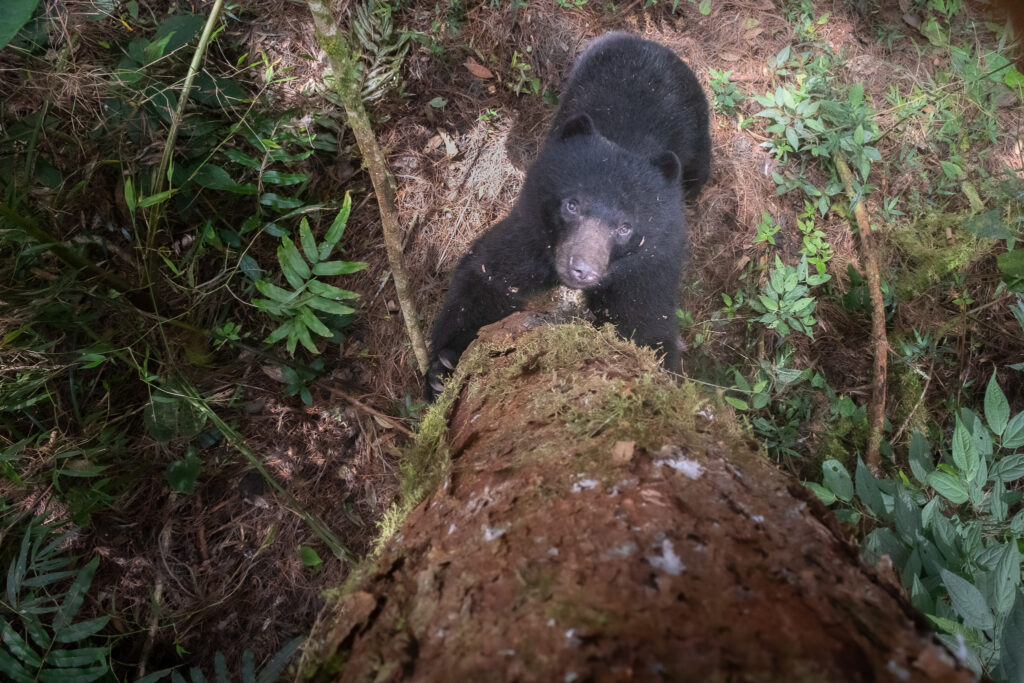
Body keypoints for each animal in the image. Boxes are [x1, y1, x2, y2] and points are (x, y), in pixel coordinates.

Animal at [426, 32, 711, 398]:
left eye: (625, 227)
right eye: (572, 205)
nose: (582, 270)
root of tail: (644, 40)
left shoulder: (650, 258)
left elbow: (643, 318)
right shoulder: (533, 226)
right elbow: (490, 274)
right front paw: (443, 366)